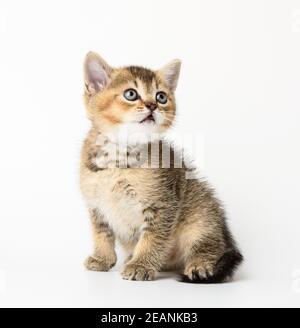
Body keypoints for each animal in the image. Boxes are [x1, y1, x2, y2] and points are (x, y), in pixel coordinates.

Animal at [81, 51, 243, 282]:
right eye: (131, 94)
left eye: (161, 97)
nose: (152, 106)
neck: (119, 158)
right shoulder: (96, 206)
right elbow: (102, 234)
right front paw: (102, 259)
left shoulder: (164, 203)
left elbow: (153, 238)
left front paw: (140, 265)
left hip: (201, 214)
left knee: (209, 244)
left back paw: (200, 265)